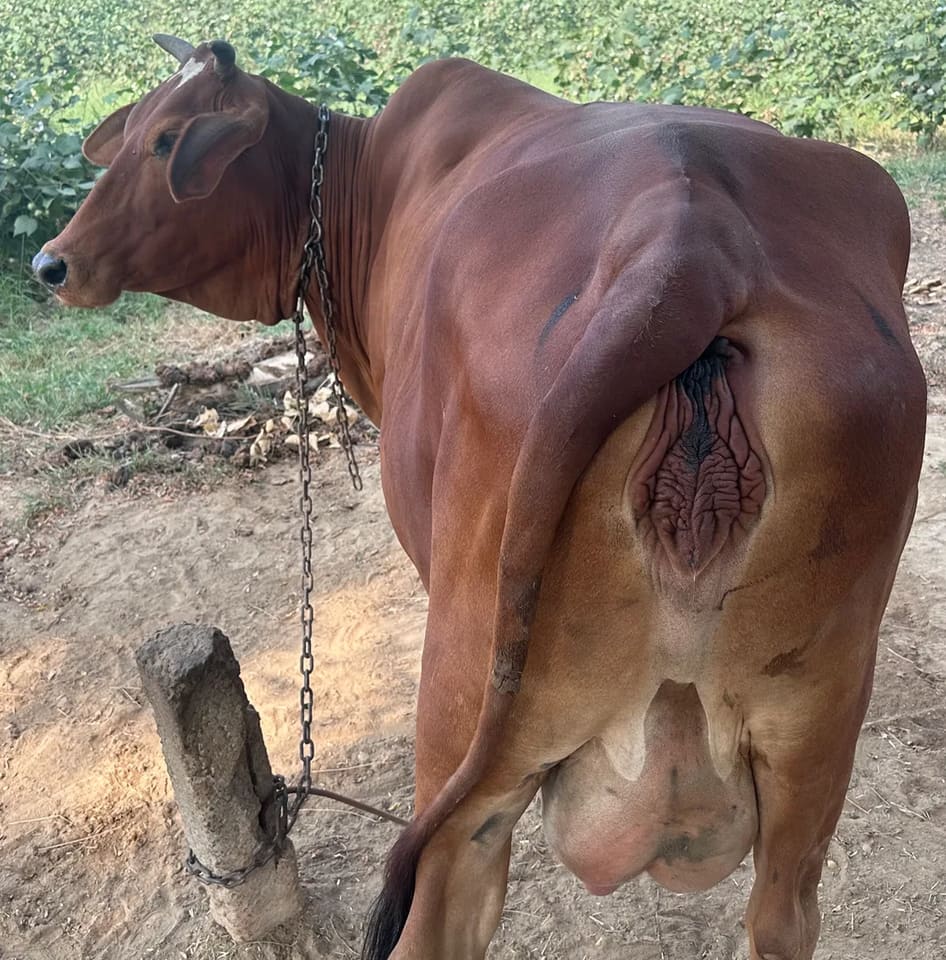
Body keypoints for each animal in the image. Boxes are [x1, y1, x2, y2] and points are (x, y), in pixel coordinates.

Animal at [34, 35, 926, 960]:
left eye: (167, 140)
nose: (52, 262)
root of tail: (691, 242)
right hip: (812, 741)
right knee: (784, 909)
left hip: (465, 698)